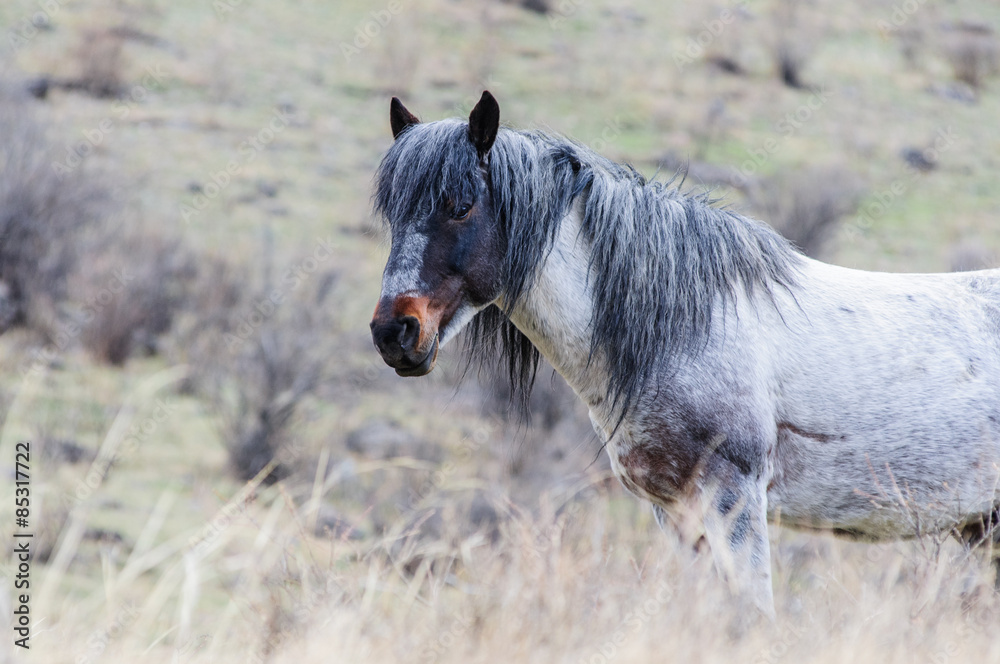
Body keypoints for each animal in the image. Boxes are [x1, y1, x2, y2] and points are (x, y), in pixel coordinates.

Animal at [370, 91, 1000, 616]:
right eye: (393, 213)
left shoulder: (734, 500)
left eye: (461, 206)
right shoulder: (675, 512)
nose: (393, 333)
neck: (685, 325)